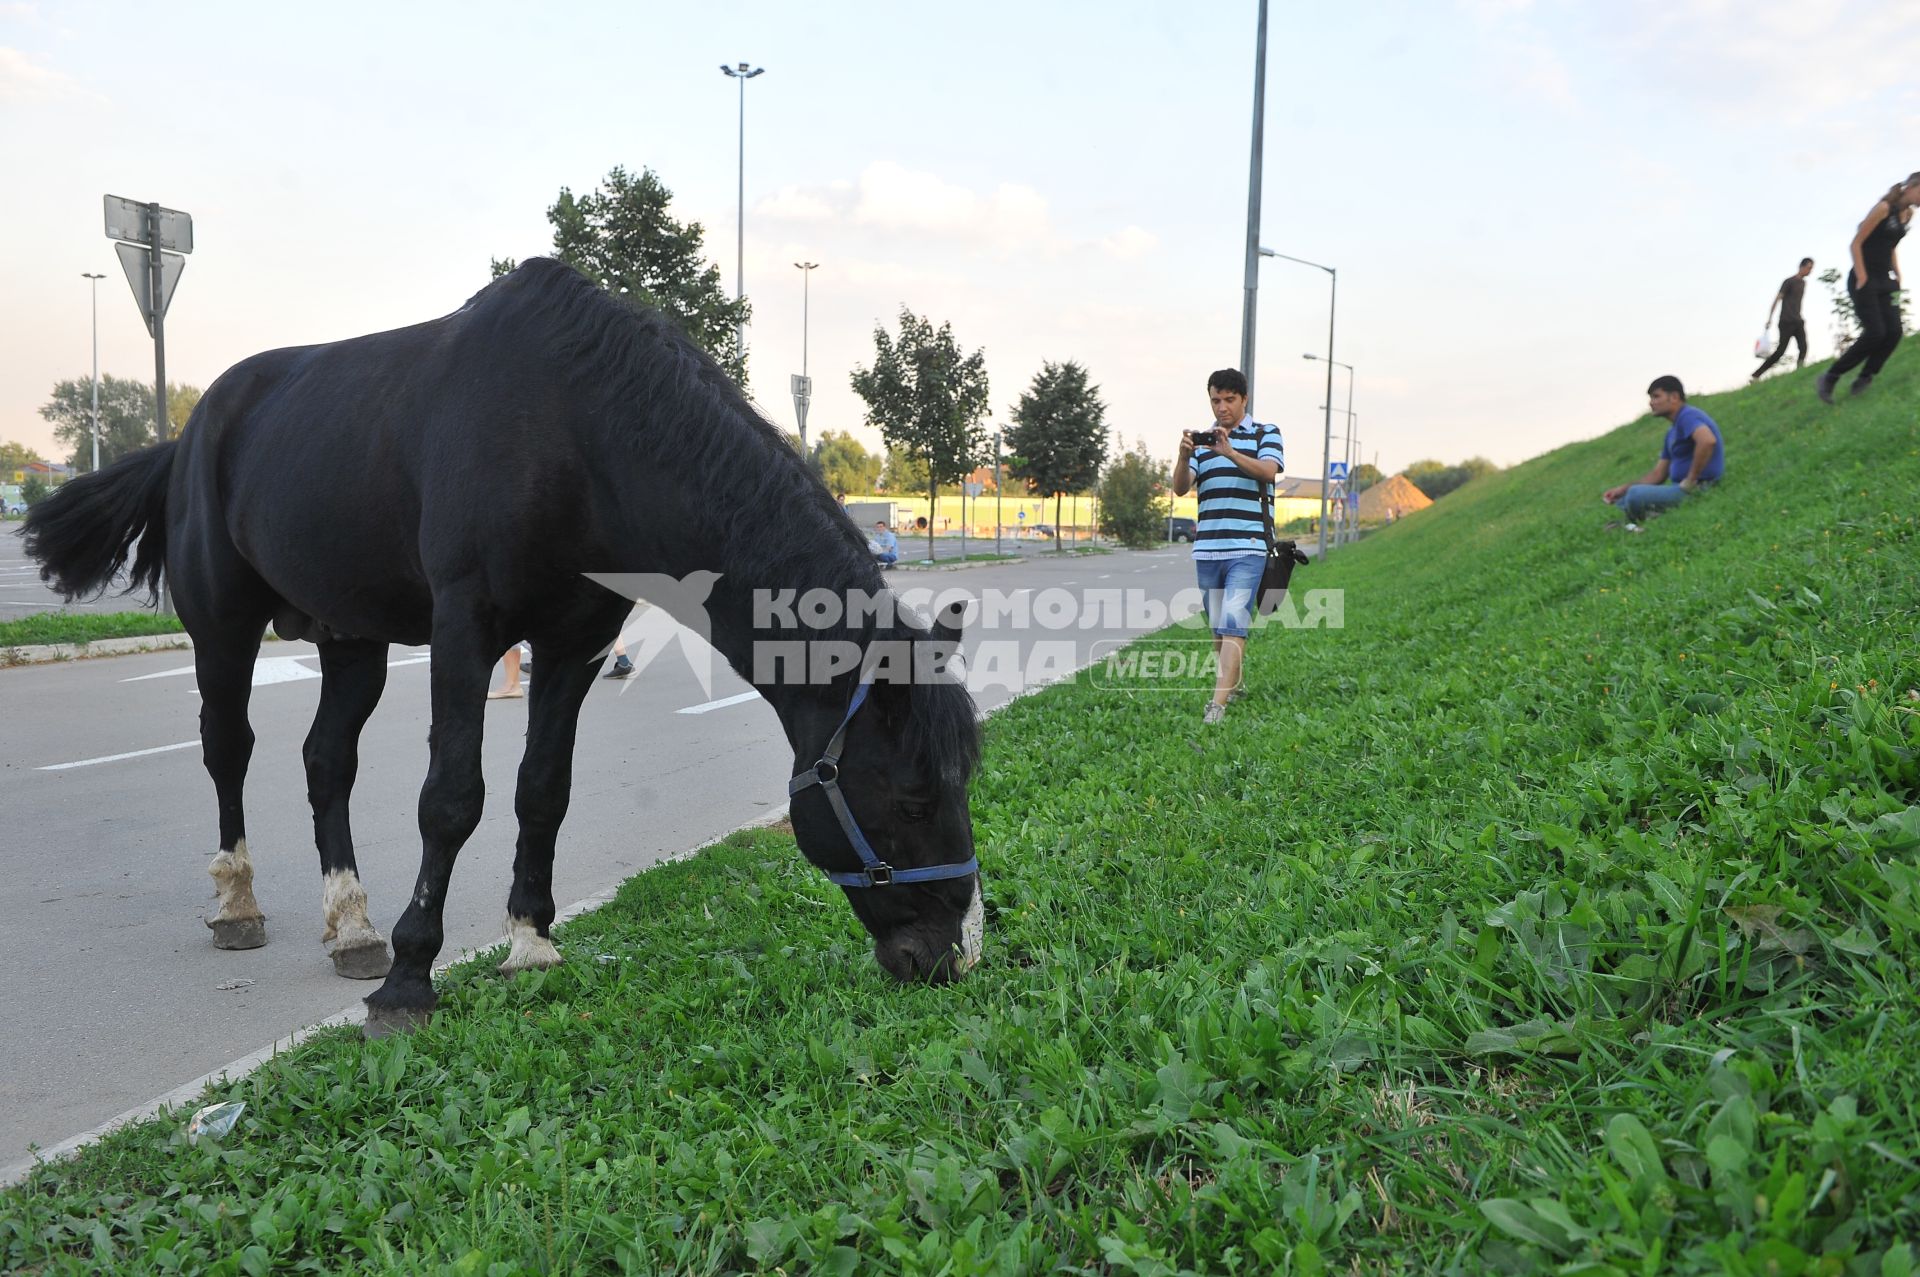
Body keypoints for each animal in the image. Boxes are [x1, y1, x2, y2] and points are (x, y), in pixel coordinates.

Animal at [28, 259, 983, 1036]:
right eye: (909, 795)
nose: (951, 955)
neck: (577, 432)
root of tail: (189, 433)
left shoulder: (575, 645)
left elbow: (541, 791)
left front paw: (529, 939)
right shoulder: (466, 630)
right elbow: (452, 798)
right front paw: (412, 977)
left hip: (353, 637)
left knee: (326, 760)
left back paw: (353, 924)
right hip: (223, 626)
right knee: (229, 747)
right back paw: (238, 903)